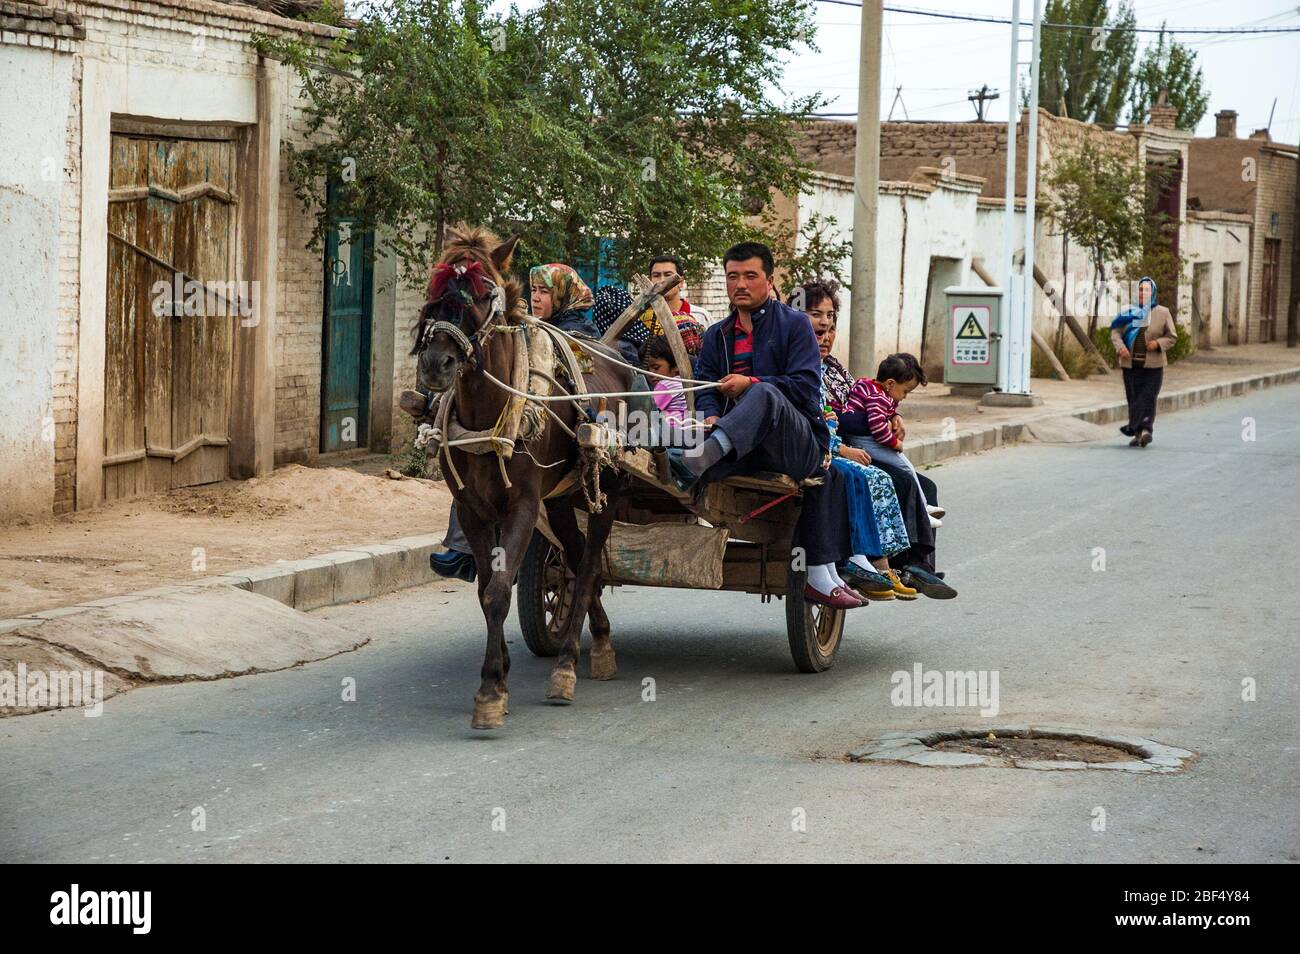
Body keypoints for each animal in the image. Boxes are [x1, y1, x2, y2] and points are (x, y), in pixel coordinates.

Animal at [413, 226, 631, 733]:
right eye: (435, 287)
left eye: (484, 293)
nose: (435, 364)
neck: (489, 411)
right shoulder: (474, 509)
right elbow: (484, 589)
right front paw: (503, 671)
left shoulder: (524, 506)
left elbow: (497, 590)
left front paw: (491, 690)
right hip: (560, 502)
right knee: (575, 558)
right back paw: (598, 639)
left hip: (604, 495)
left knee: (587, 566)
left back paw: (567, 667)